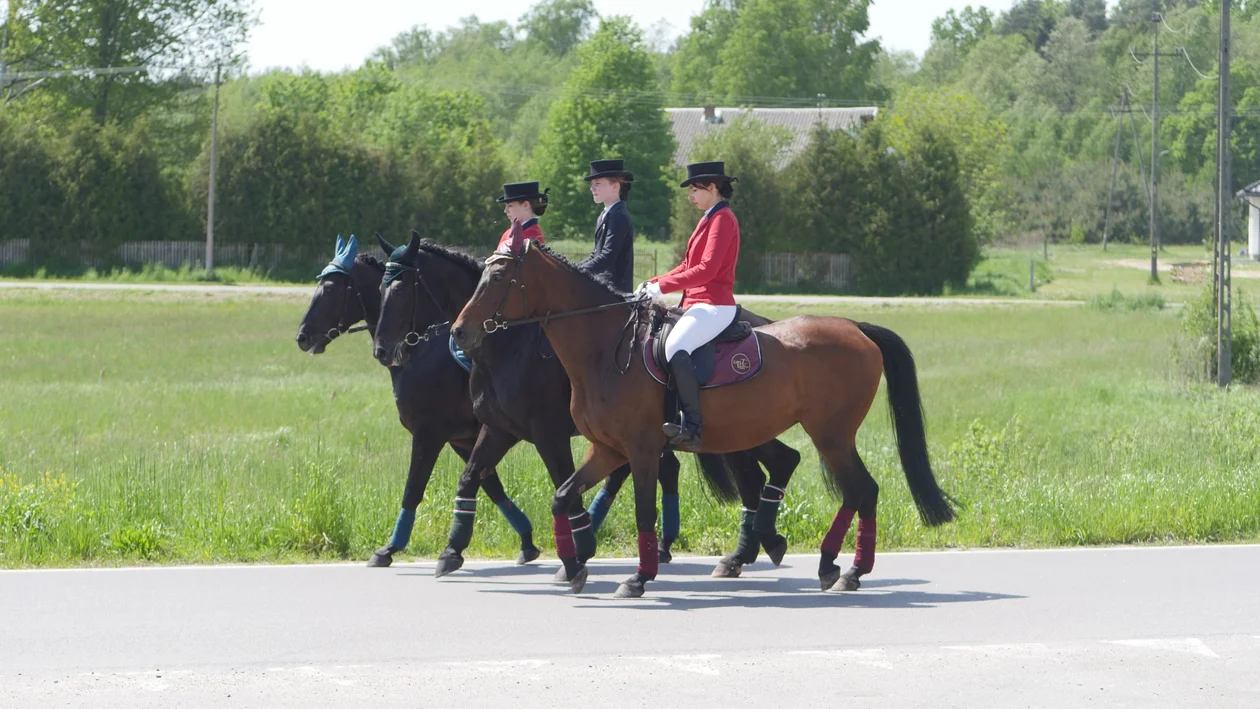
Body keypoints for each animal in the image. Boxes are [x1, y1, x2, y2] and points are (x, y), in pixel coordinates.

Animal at [297, 235, 539, 569]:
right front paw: (526, 540)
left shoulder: (430, 434)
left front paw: (390, 548)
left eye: (331, 289)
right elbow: (491, 485)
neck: (426, 351)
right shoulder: (463, 439)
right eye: (381, 289)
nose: (302, 336)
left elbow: (413, 488)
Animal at [367, 232, 801, 581]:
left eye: (402, 290)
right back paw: (752, 546)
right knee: (764, 470)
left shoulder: (539, 433)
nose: (383, 350)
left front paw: (578, 552)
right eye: (379, 290)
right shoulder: (496, 430)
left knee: (766, 470)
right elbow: (471, 479)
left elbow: (556, 484)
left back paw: (746, 547)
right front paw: (453, 551)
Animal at [453, 229, 952, 599]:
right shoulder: (606, 449)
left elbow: (643, 512)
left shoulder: (637, 450)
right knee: (843, 488)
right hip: (808, 435)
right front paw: (574, 567)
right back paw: (824, 563)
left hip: (830, 434)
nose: (459, 331)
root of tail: (855, 328)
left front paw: (638, 577)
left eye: (499, 277)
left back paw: (847, 569)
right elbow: (562, 496)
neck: (603, 346)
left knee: (860, 490)